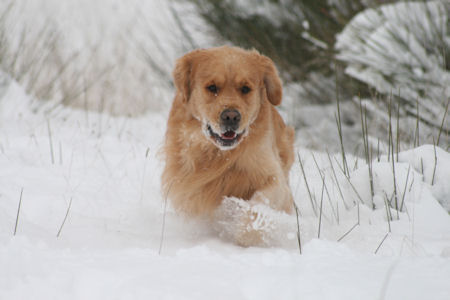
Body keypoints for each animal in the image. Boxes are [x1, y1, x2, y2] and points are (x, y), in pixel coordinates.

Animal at [162, 45, 296, 246]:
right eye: (212, 87)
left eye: (245, 89)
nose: (231, 117)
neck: (221, 155)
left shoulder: (274, 177)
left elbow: (259, 205)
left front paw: (246, 232)